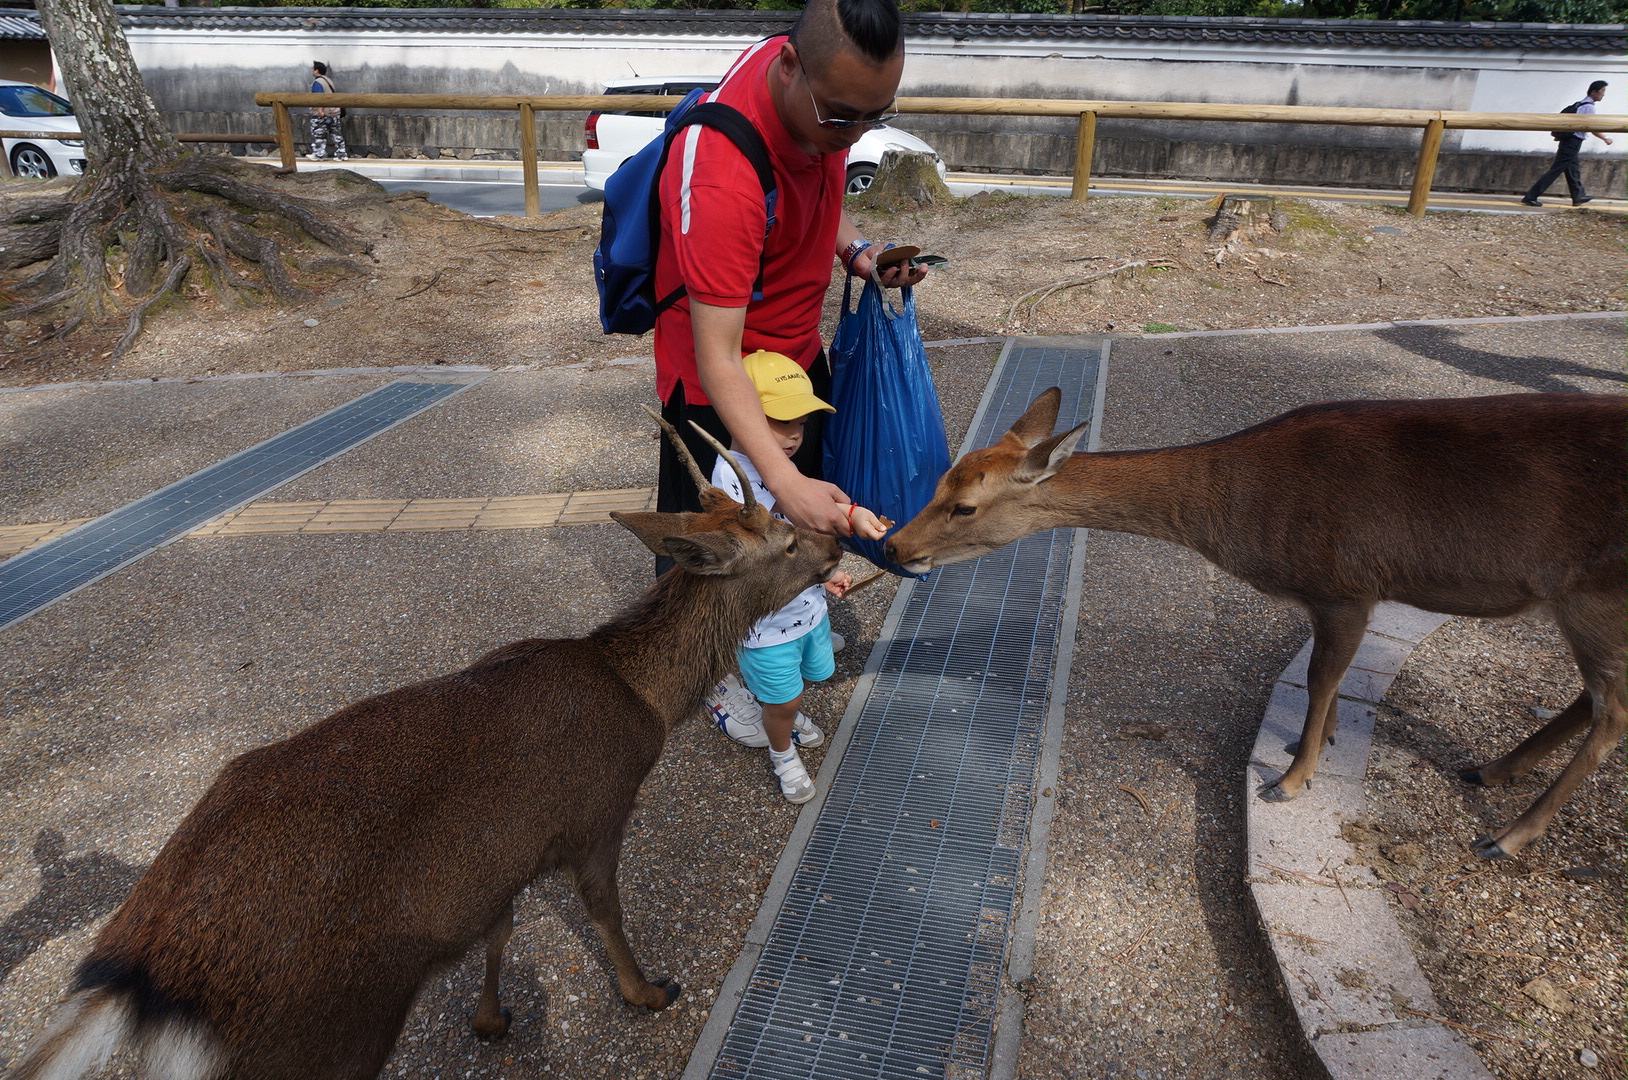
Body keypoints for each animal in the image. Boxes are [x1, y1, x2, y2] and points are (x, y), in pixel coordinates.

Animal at [12, 412, 846, 1080]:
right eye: (785, 537)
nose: (837, 536)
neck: (641, 695)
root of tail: (138, 969)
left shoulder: (501, 861)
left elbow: (501, 928)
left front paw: (490, 1020)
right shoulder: (596, 809)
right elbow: (605, 910)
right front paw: (648, 991)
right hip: (323, 1036)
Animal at [885, 389, 1628, 860]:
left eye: (965, 506)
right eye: (943, 479)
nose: (895, 546)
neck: (1243, 519)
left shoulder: (1345, 586)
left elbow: (1321, 678)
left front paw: (1291, 779)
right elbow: (1328, 684)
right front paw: (1319, 745)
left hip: (1597, 595)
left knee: (1613, 712)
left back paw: (1505, 837)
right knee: (1590, 699)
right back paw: (1490, 770)